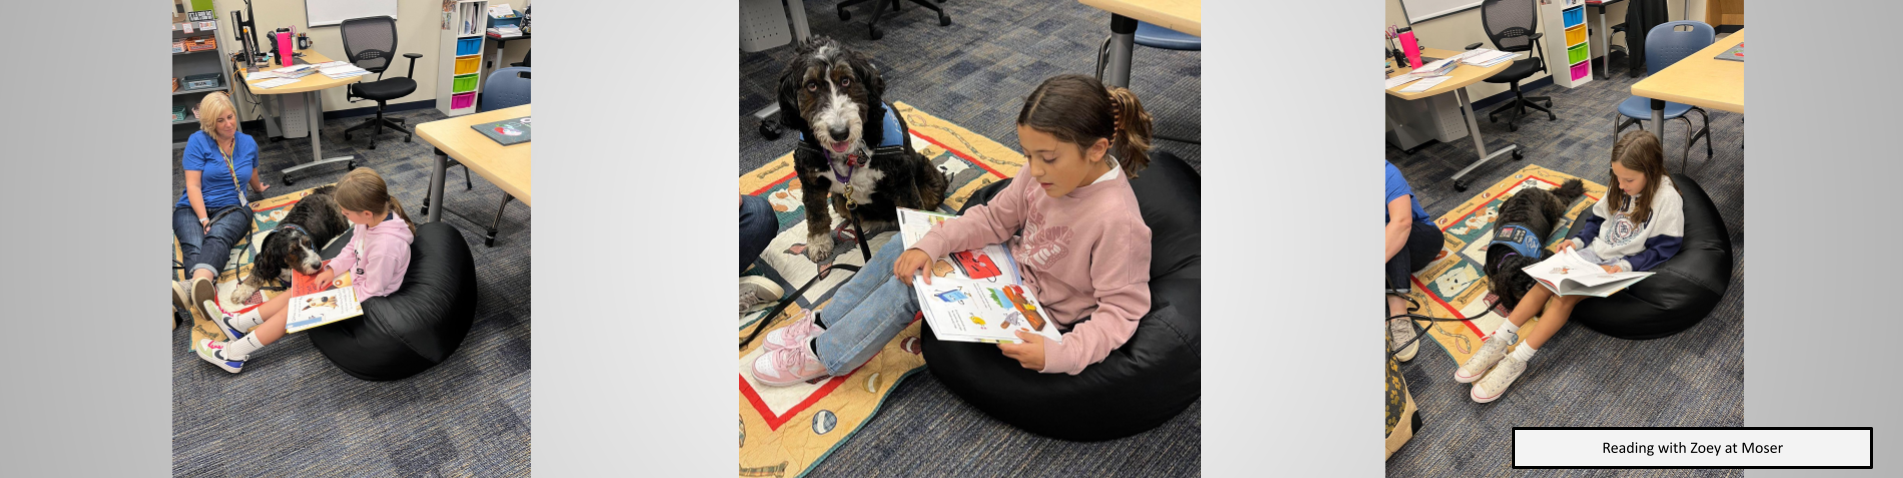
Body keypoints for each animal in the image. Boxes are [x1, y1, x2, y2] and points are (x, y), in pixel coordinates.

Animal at [776, 35, 947, 262]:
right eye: (811, 85)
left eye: (846, 80)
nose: (839, 132)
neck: (850, 154)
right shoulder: (810, 177)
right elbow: (815, 212)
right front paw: (819, 243)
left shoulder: (902, 179)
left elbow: (911, 211)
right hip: (840, 201)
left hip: (928, 178)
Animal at [1484, 179, 1590, 314]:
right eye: (1513, 277)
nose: (1529, 285)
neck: (1507, 253)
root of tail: (1536, 189)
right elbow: (1493, 283)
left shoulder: (1539, 253)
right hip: (1503, 207)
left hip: (1552, 209)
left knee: (1562, 203)